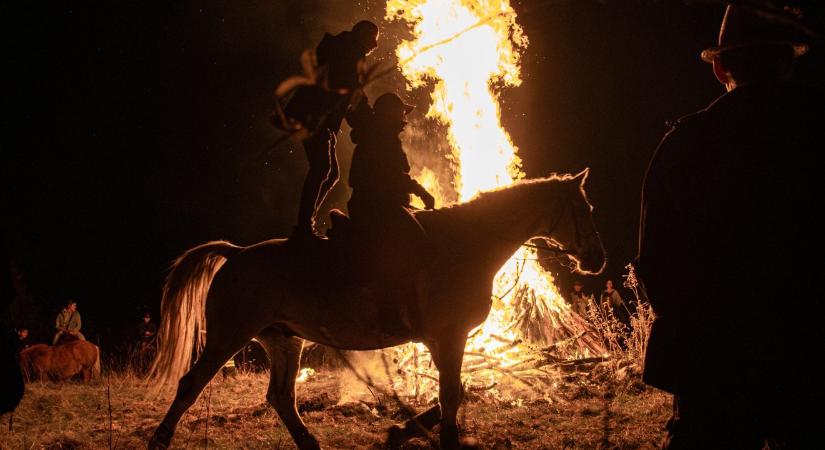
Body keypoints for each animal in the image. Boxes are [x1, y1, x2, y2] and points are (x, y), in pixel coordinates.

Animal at [146, 170, 604, 450]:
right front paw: (438, 438)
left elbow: (453, 392)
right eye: (584, 209)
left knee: (280, 397)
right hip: (229, 336)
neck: (465, 244)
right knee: (190, 385)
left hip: (283, 341)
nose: (597, 259)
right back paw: (159, 440)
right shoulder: (449, 336)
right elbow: (451, 394)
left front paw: (401, 431)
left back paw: (311, 444)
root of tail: (237, 253)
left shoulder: (441, 341)